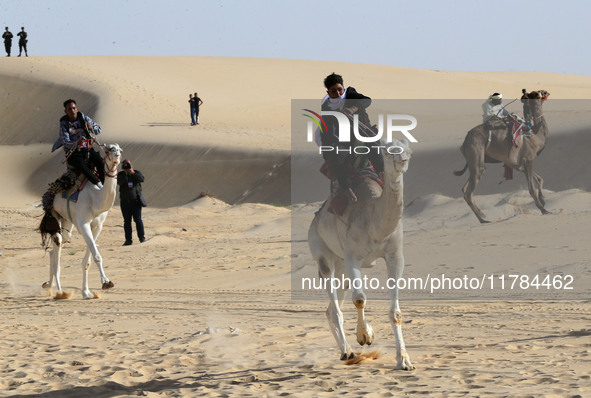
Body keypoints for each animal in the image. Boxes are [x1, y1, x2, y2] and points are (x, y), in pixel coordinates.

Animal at [40, 143, 121, 298]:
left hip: (67, 221)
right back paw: (60, 292)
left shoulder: (97, 226)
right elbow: (96, 256)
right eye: (108, 150)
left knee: (56, 248)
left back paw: (48, 284)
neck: (95, 198)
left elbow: (88, 260)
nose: (117, 156)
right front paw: (106, 282)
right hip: (54, 214)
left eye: (120, 150)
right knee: (57, 248)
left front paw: (86, 292)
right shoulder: (83, 224)